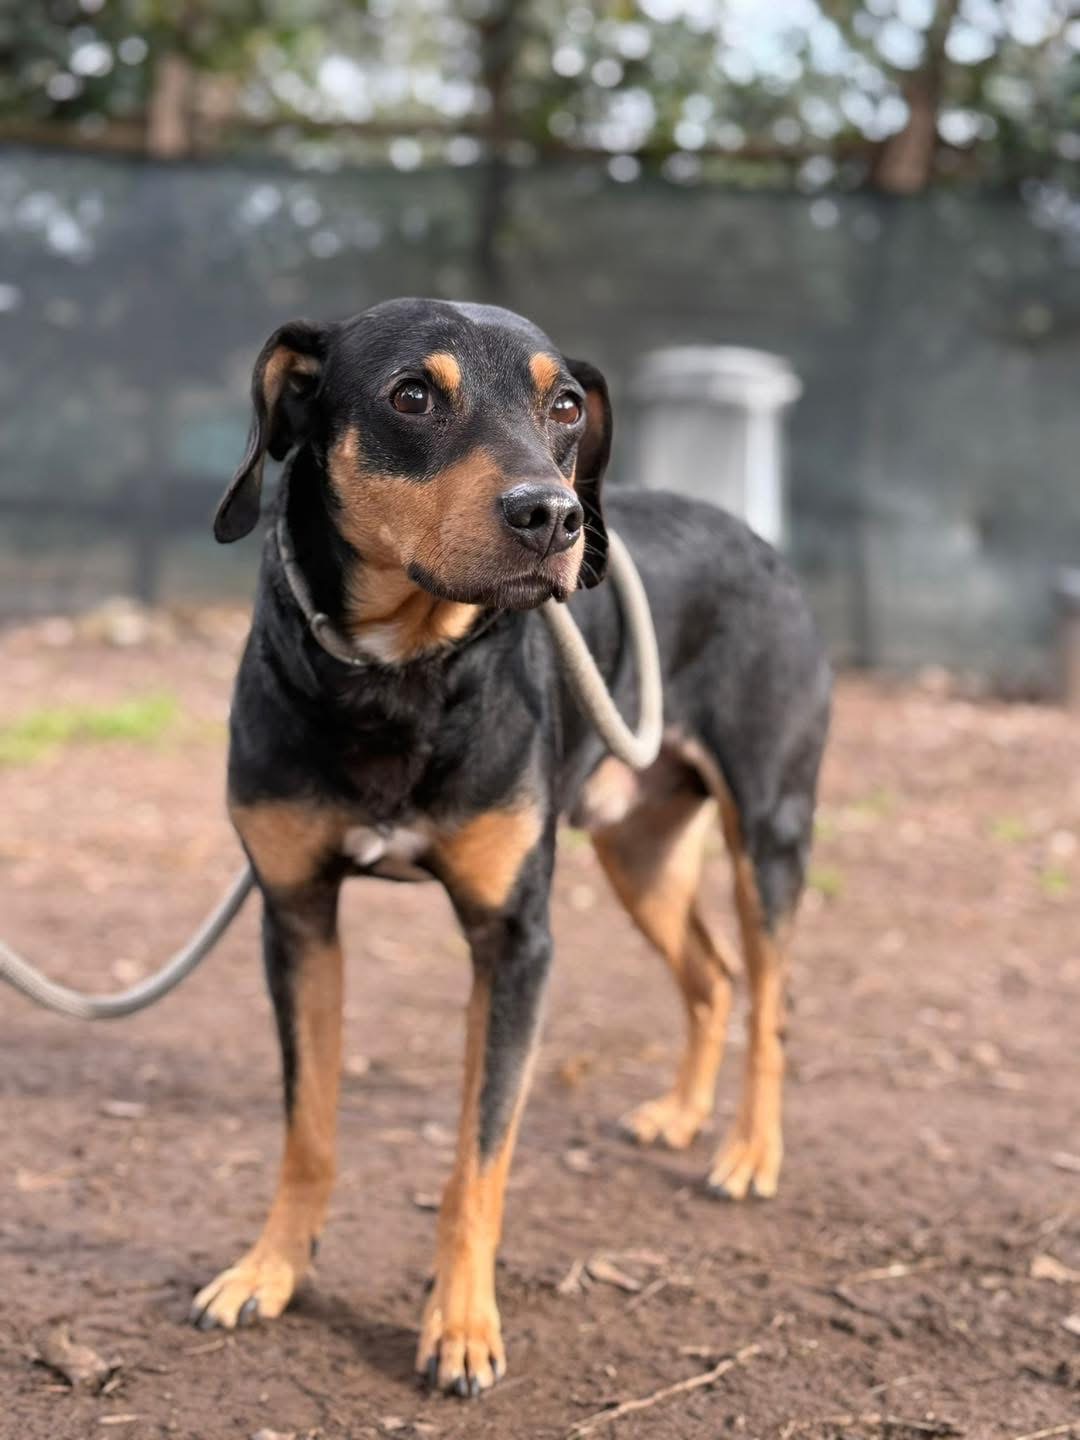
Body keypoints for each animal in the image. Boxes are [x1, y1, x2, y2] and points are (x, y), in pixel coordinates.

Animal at [190, 297, 831, 1397]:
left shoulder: (515, 941)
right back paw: (678, 1115)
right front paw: (271, 1271)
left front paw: (460, 1326)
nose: (554, 517)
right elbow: (307, 1129)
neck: (400, 674)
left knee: (772, 1000)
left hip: (770, 833)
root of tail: (752, 535)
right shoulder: (297, 916)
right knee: (711, 976)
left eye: (565, 405)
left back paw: (749, 1154)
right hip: (639, 850)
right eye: (412, 394)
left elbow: (477, 1158)